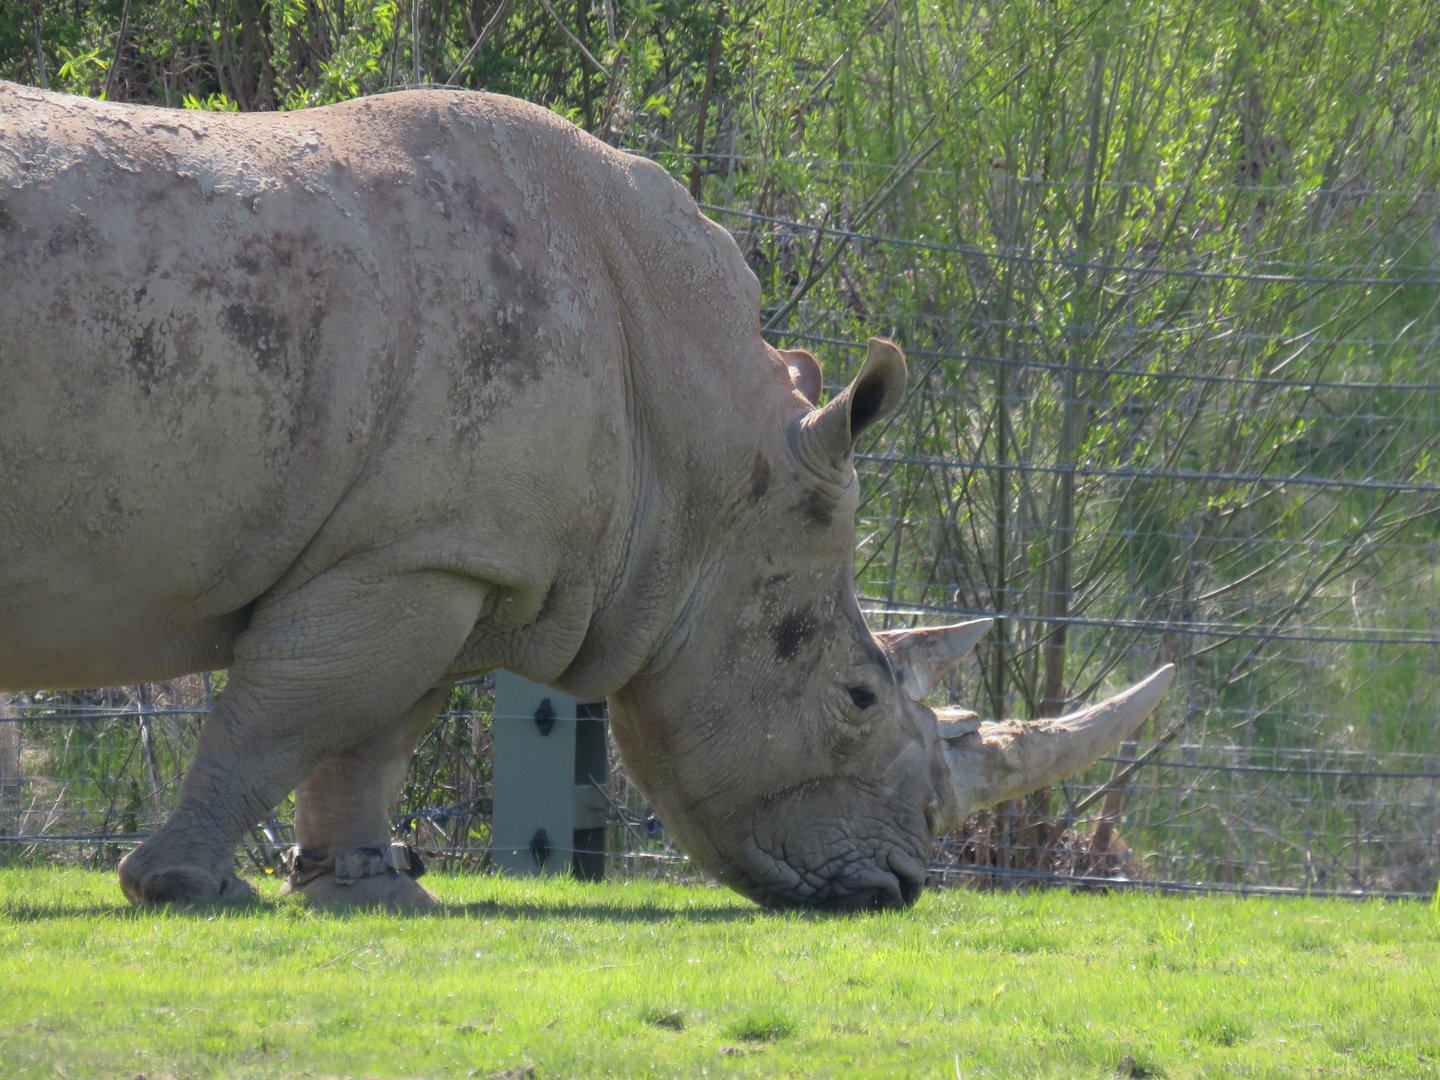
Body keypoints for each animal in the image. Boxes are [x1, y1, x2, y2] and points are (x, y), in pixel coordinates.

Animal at [0, 82, 1172, 909]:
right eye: (857, 700)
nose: (896, 890)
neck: (701, 465)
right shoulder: (415, 553)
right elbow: (287, 713)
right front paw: (186, 890)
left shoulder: (450, 551)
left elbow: (371, 729)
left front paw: (371, 895)